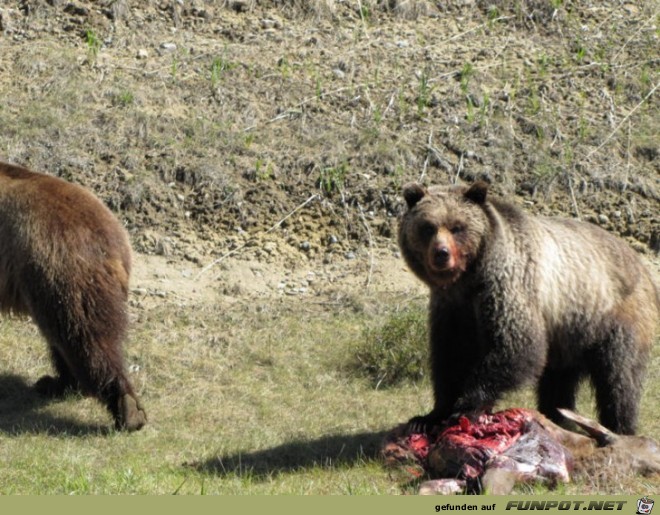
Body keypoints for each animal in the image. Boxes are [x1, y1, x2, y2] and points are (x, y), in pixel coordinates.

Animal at [400, 181, 656, 436]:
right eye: (428, 227)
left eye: (457, 227)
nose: (441, 254)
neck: (469, 279)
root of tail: (641, 263)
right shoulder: (452, 308)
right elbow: (450, 356)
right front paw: (428, 416)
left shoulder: (506, 287)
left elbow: (516, 345)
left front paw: (465, 406)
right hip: (568, 331)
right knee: (558, 380)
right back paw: (556, 416)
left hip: (612, 314)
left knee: (619, 376)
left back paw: (619, 427)